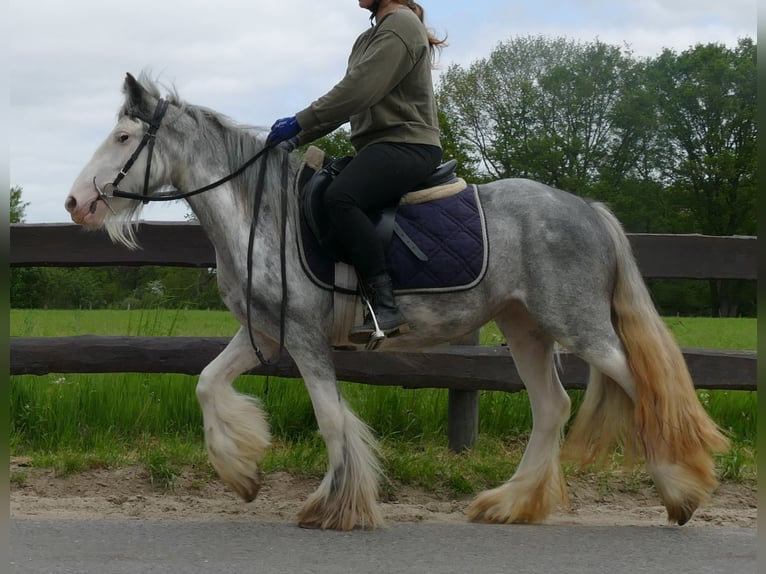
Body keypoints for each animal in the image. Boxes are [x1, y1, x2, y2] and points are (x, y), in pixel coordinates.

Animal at [63, 74, 728, 532]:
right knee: (553, 407)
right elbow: (206, 383)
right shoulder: (268, 334)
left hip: (582, 325)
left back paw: (681, 493)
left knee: (646, 390)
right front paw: (242, 474)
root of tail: (587, 209)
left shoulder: (304, 338)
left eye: (123, 136)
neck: (263, 213)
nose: (75, 203)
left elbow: (332, 419)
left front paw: (335, 508)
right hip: (524, 328)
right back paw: (509, 503)